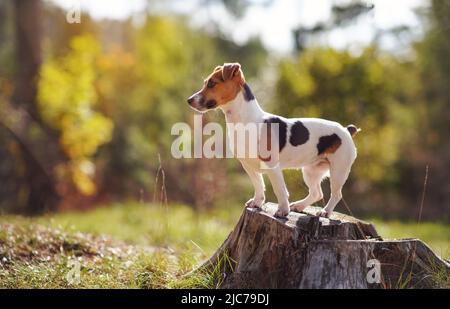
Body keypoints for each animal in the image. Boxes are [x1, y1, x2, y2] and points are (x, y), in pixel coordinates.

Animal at [188, 62, 360, 217]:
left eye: (212, 83)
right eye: (206, 82)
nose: (189, 100)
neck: (245, 119)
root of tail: (346, 130)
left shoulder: (272, 166)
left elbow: (280, 190)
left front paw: (283, 211)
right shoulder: (248, 165)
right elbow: (258, 185)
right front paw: (257, 202)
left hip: (338, 170)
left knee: (336, 194)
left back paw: (325, 212)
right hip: (311, 170)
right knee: (316, 193)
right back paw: (299, 206)